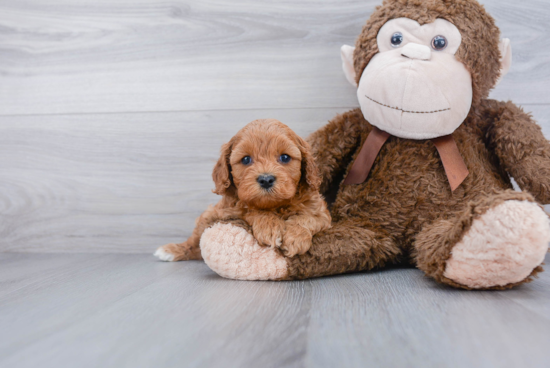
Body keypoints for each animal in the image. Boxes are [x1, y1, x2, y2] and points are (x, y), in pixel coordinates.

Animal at [157, 118, 334, 262]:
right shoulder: (228, 211)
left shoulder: (321, 213)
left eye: (285, 157)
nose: (266, 179)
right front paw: (269, 226)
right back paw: (172, 250)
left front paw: (295, 237)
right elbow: (250, 210)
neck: (274, 206)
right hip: (208, 215)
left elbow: (307, 218)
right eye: (246, 159)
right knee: (195, 241)